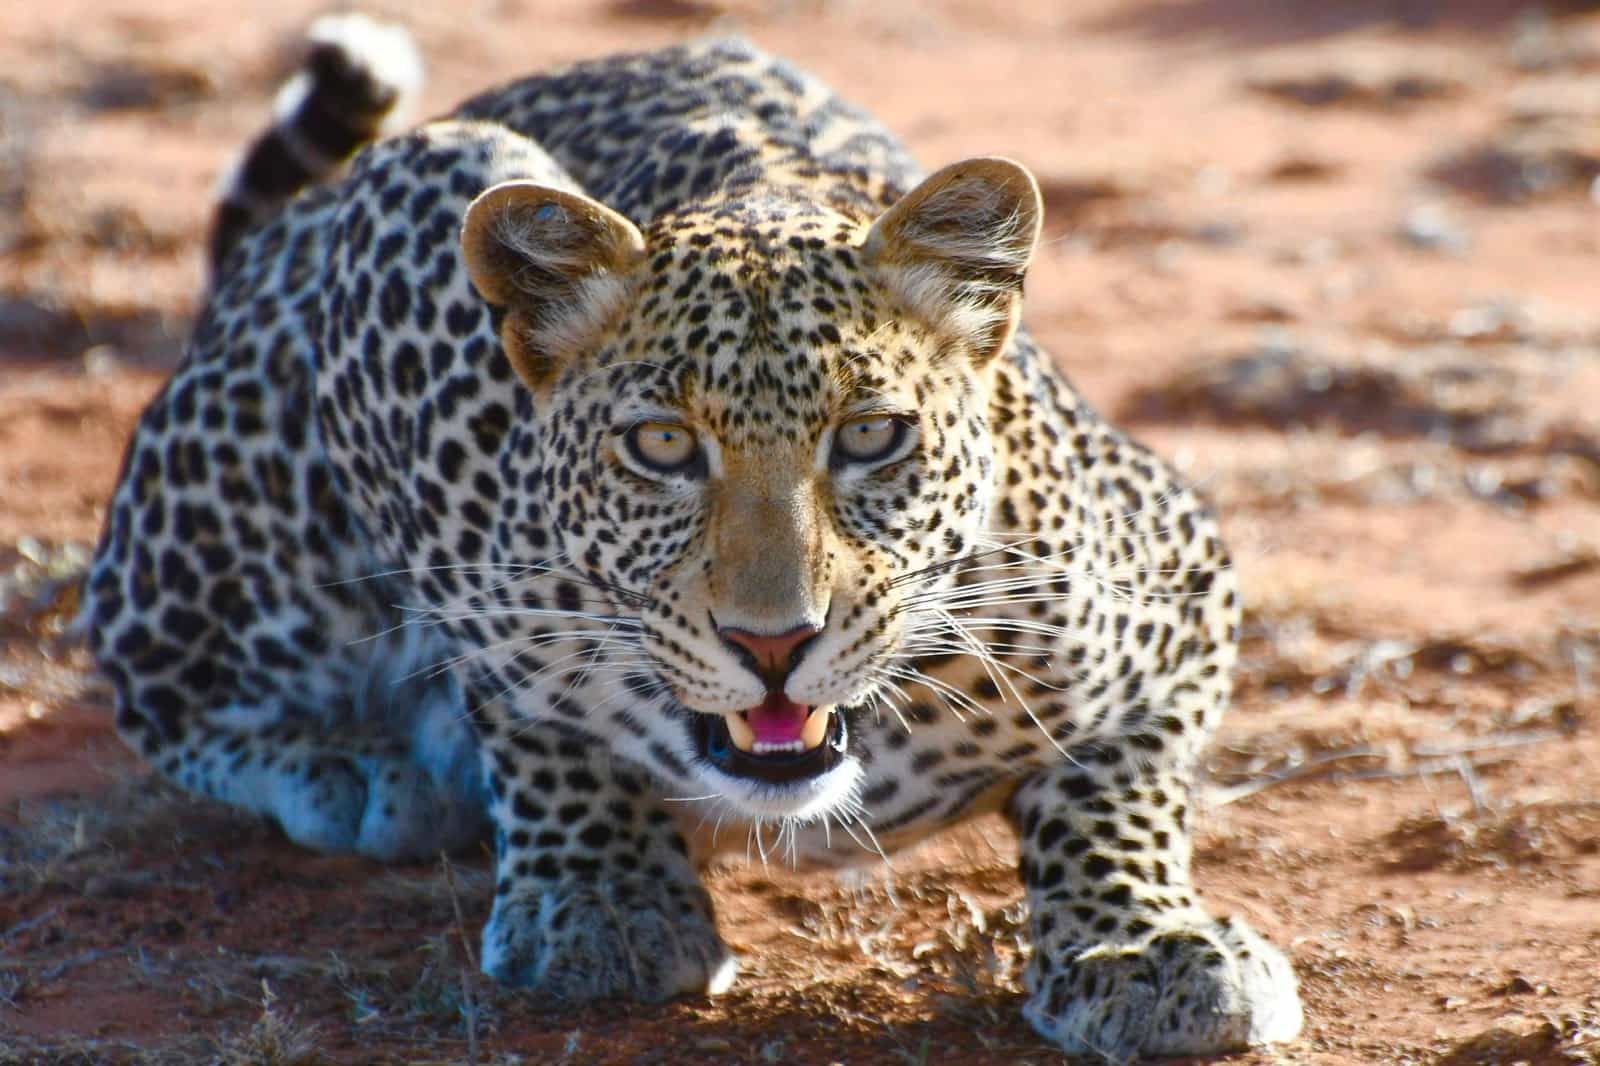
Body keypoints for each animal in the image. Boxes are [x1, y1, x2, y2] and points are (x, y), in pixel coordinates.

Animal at [84, 14, 1303, 1058]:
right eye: (663, 446)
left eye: (870, 436)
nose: (772, 644)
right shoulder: (409, 213)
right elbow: (519, 695)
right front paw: (601, 893)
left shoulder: (1178, 578)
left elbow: (1120, 774)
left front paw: (1146, 944)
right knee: (158, 689)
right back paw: (354, 767)